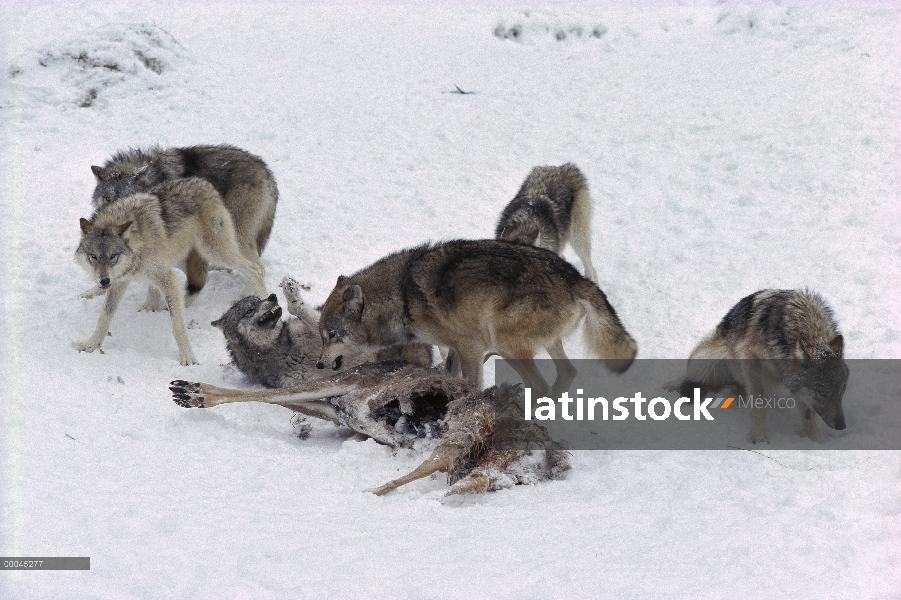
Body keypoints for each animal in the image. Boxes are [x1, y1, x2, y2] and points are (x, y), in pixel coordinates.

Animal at [76, 177, 268, 366]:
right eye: (93, 256)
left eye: (113, 256)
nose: (104, 281)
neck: (137, 243)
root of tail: (205, 183)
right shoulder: (120, 281)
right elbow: (104, 317)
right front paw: (91, 345)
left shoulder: (166, 278)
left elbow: (177, 326)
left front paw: (187, 357)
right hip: (181, 258)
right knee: (204, 276)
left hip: (214, 251)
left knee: (256, 268)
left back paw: (261, 299)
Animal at [89, 143, 278, 308]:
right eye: (107, 198)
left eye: (128, 197)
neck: (153, 179)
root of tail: (266, 171)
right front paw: (92, 292)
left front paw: (149, 307)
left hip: (233, 234)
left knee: (259, 268)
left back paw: (244, 296)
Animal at [213, 278, 434, 390]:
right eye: (249, 310)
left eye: (259, 300)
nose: (272, 296)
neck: (282, 348)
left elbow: (309, 315)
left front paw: (292, 294)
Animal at [312, 239, 636, 398]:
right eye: (322, 335)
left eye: (332, 335)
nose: (318, 364)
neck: (401, 296)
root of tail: (574, 277)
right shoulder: (457, 348)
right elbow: (450, 377)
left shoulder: (471, 346)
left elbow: (472, 386)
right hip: (542, 344)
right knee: (568, 373)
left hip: (505, 344)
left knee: (543, 385)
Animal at [664, 288, 848, 442]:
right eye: (823, 392)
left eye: (841, 391)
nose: (841, 426)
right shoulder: (751, 361)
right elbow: (760, 405)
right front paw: (758, 439)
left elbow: (808, 414)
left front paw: (814, 442)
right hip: (707, 361)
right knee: (692, 377)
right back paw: (670, 385)